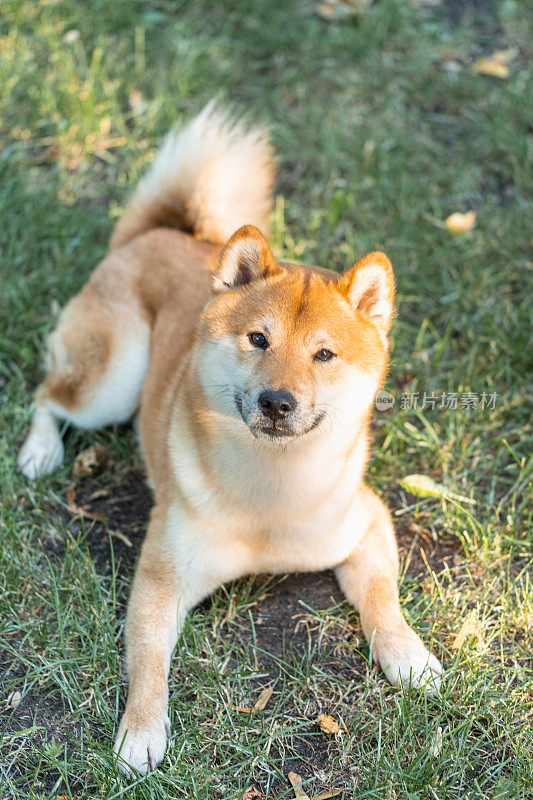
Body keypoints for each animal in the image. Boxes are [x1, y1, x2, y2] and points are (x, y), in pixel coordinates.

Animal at [18, 101, 440, 776]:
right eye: (258, 339)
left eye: (324, 354)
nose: (277, 402)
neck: (273, 488)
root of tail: (162, 234)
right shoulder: (161, 578)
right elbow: (147, 664)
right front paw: (141, 731)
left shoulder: (366, 521)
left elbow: (382, 599)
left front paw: (408, 656)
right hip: (113, 379)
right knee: (47, 394)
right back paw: (40, 450)